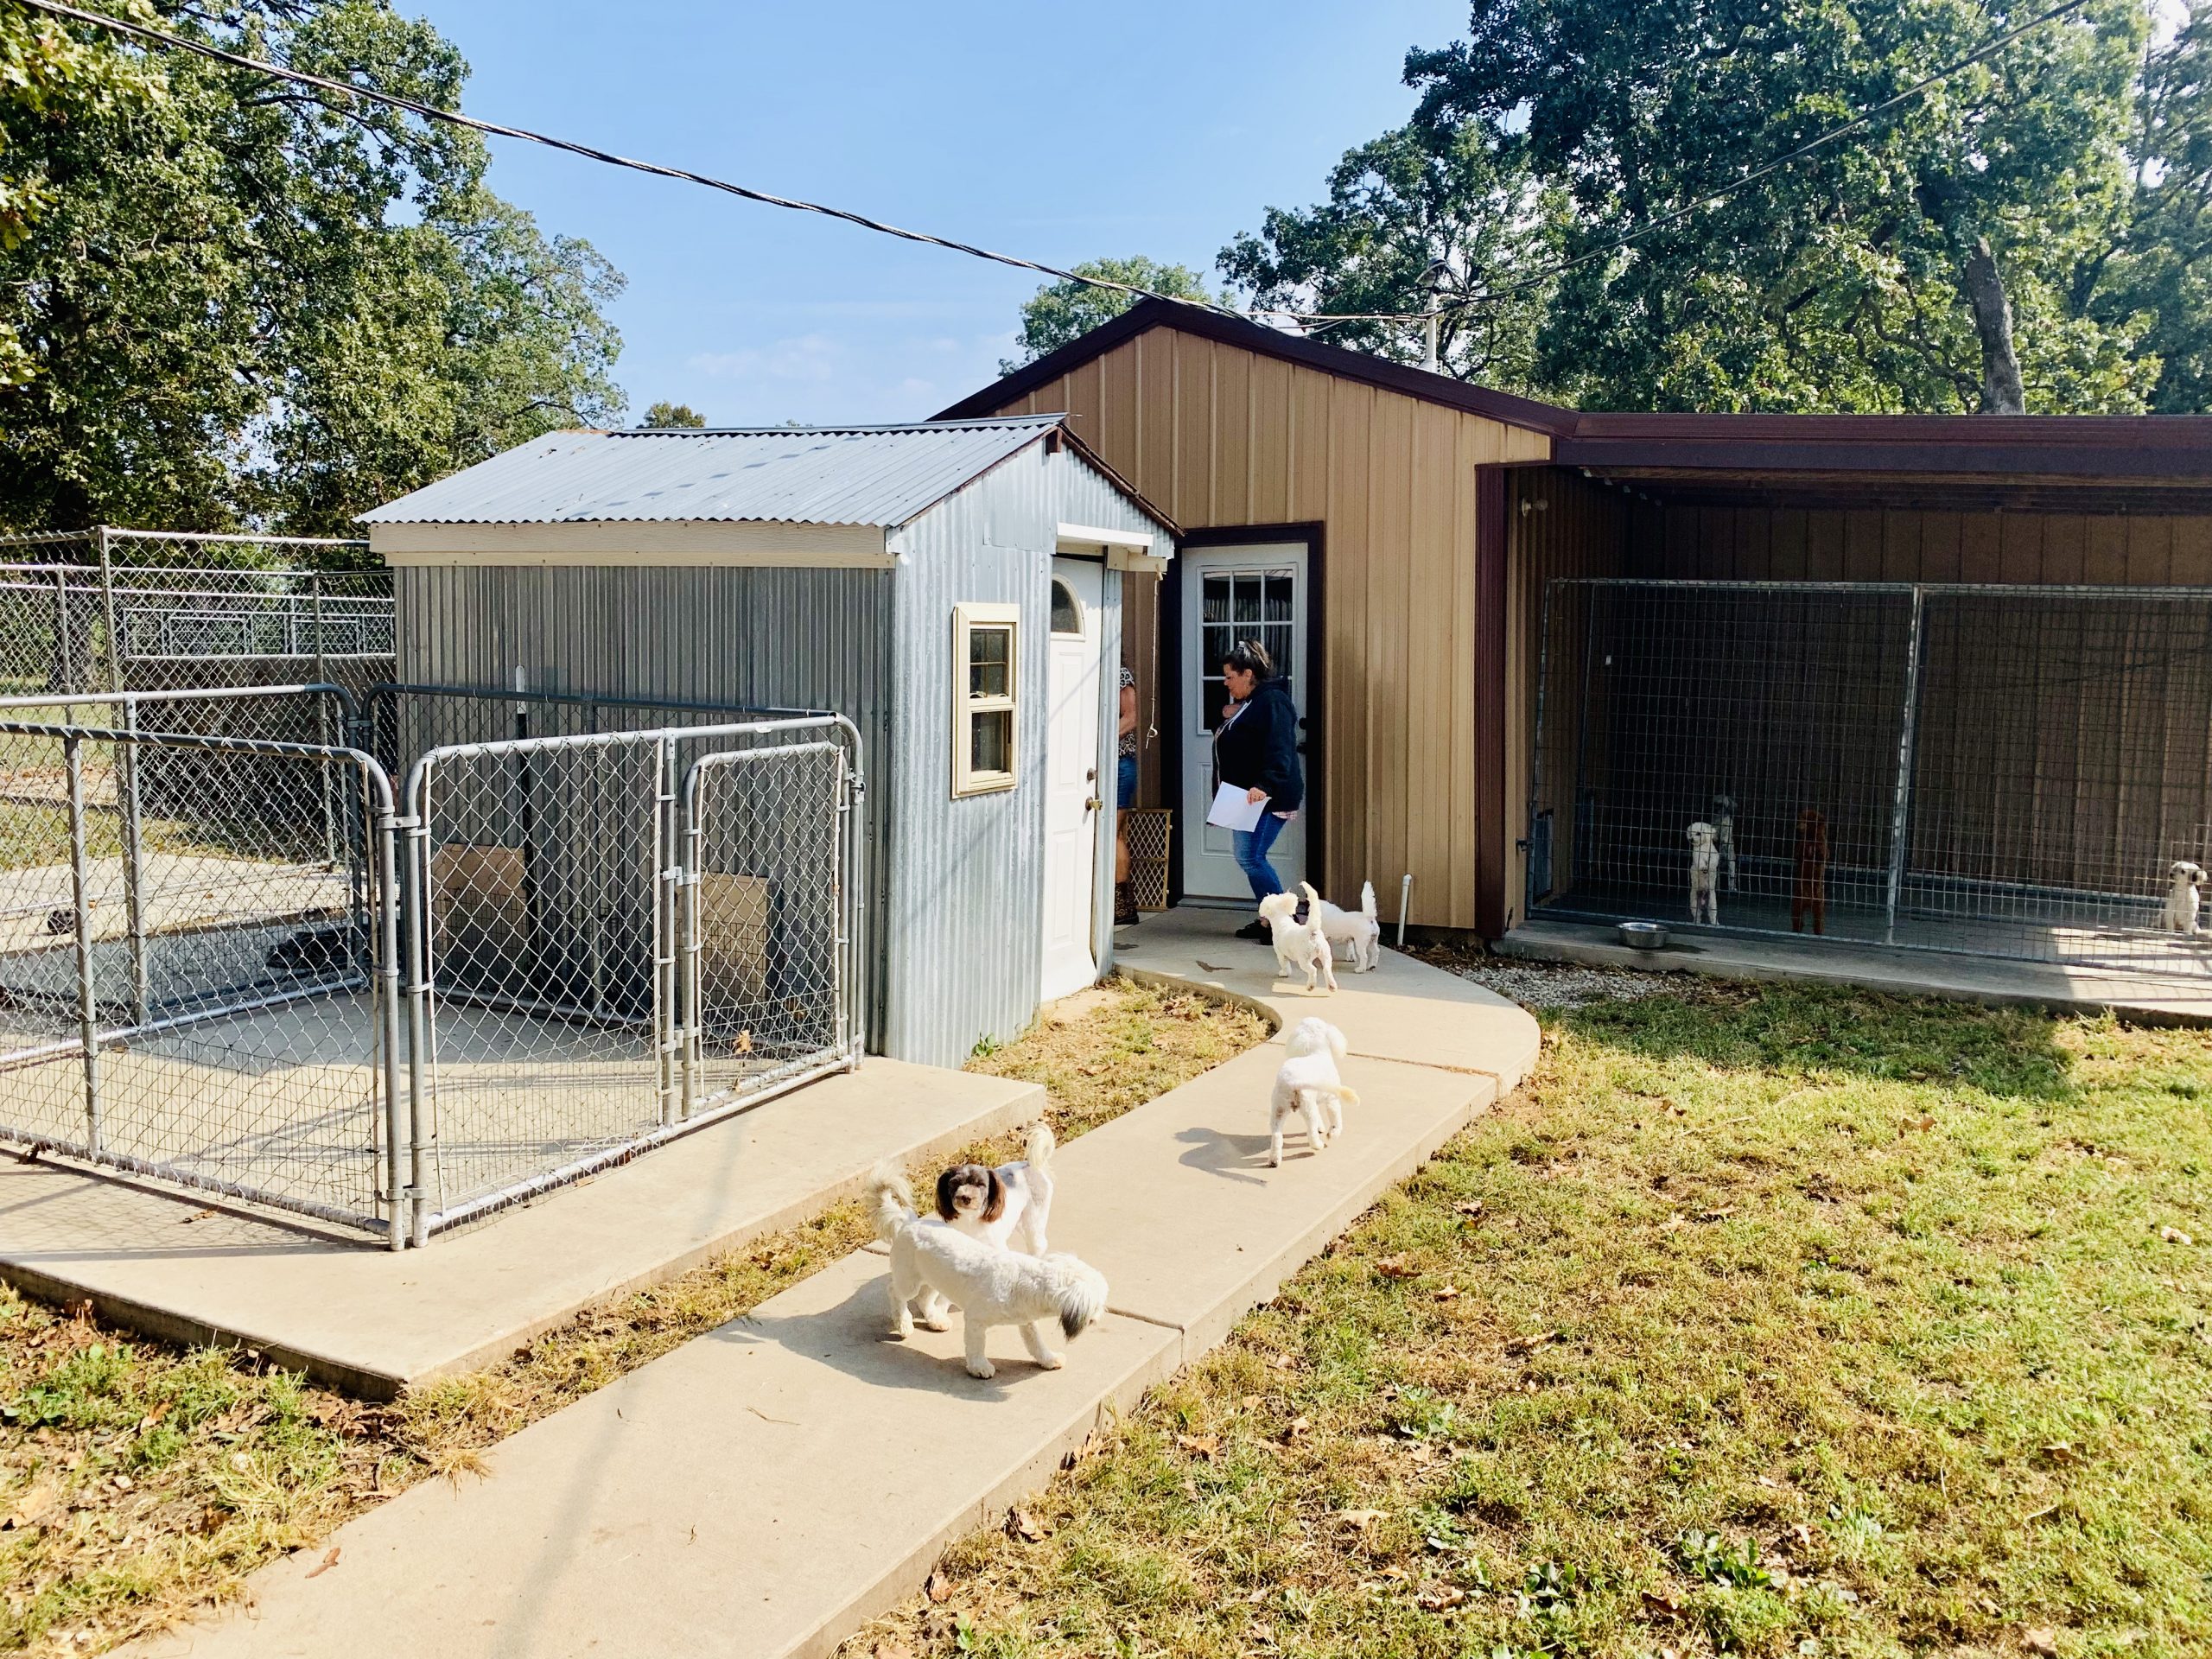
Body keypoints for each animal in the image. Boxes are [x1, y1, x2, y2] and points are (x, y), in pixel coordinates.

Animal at [862, 1159, 1106, 1380]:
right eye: (1098, 1304)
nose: (1101, 1317)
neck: (1025, 1283)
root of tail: (909, 1222)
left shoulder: (1027, 1321)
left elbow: (1035, 1344)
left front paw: (1049, 1359)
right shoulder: (975, 1320)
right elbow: (976, 1346)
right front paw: (980, 1367)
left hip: (934, 1278)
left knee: (924, 1299)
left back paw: (936, 1320)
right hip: (909, 1279)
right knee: (896, 1293)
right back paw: (904, 1323)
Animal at [938, 1123, 1057, 1256]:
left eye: (981, 1184)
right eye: (955, 1184)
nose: (966, 1197)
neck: (970, 1219)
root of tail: (1029, 1164)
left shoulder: (996, 1247)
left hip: (1035, 1216)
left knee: (1038, 1244)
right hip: (1020, 1220)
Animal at [1274, 1013, 1353, 1167]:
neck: (1316, 1051)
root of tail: (1293, 1081)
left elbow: (1319, 1116)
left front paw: (1321, 1127)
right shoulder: (1332, 1098)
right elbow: (1335, 1117)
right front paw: (1333, 1133)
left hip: (1279, 1106)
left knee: (1276, 1134)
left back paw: (1274, 1160)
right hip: (1306, 1105)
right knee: (1311, 1132)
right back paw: (1318, 1145)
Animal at [1787, 809, 1822, 938]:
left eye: (1806, 821)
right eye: (1800, 819)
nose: (1797, 828)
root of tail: (1808, 901)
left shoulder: (1822, 849)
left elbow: (1820, 855)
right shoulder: (1800, 850)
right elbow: (1800, 854)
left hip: (1818, 906)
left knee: (1818, 922)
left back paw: (1819, 933)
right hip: (1797, 904)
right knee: (1797, 920)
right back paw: (1796, 930)